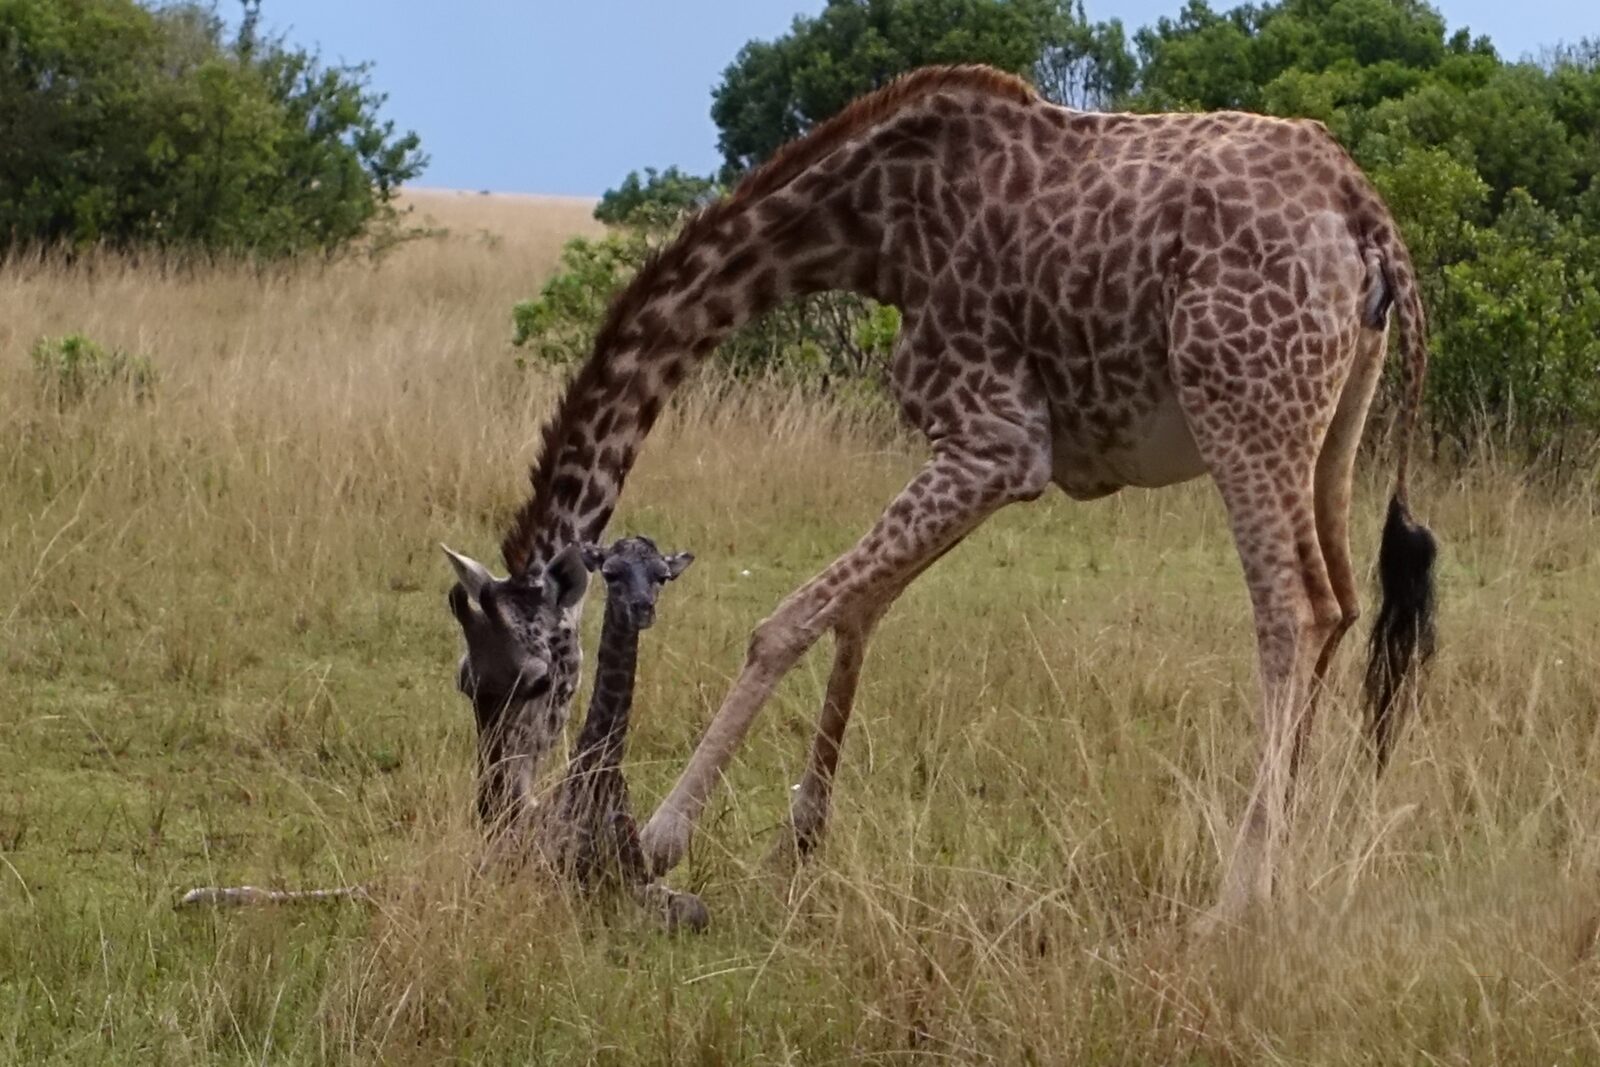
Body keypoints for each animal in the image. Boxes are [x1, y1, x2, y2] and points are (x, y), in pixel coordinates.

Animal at [442, 64, 1438, 925]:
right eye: (466, 683)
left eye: (533, 681)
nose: (499, 819)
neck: (867, 229)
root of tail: (1364, 212)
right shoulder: (982, 457)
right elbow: (859, 612)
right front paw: (797, 845)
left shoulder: (997, 442)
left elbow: (787, 620)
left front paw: (660, 836)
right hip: (1331, 422)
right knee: (1344, 602)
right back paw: (1292, 862)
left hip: (1244, 407)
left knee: (1292, 611)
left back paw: (1234, 900)